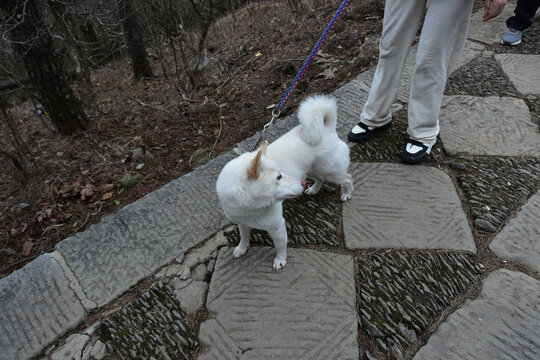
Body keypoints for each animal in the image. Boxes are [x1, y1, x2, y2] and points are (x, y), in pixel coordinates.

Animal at [215, 94, 354, 268]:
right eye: (279, 177)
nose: (303, 183)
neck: (250, 210)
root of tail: (327, 130)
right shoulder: (242, 223)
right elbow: (244, 237)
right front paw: (241, 248)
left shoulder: (277, 227)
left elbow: (280, 246)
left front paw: (280, 260)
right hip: (312, 169)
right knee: (319, 179)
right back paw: (313, 189)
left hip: (331, 172)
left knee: (347, 179)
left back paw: (346, 194)